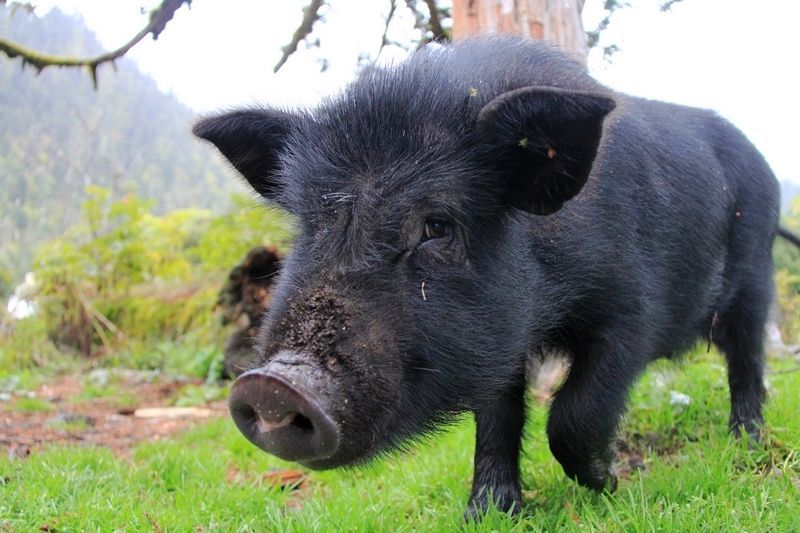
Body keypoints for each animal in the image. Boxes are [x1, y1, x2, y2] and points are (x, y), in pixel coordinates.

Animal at [194, 35, 780, 512]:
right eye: (310, 222)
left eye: (437, 225)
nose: (274, 383)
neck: (546, 306)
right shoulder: (499, 342)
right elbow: (497, 416)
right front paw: (489, 512)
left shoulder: (631, 312)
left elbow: (575, 411)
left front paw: (608, 481)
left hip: (756, 270)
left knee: (747, 357)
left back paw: (747, 442)